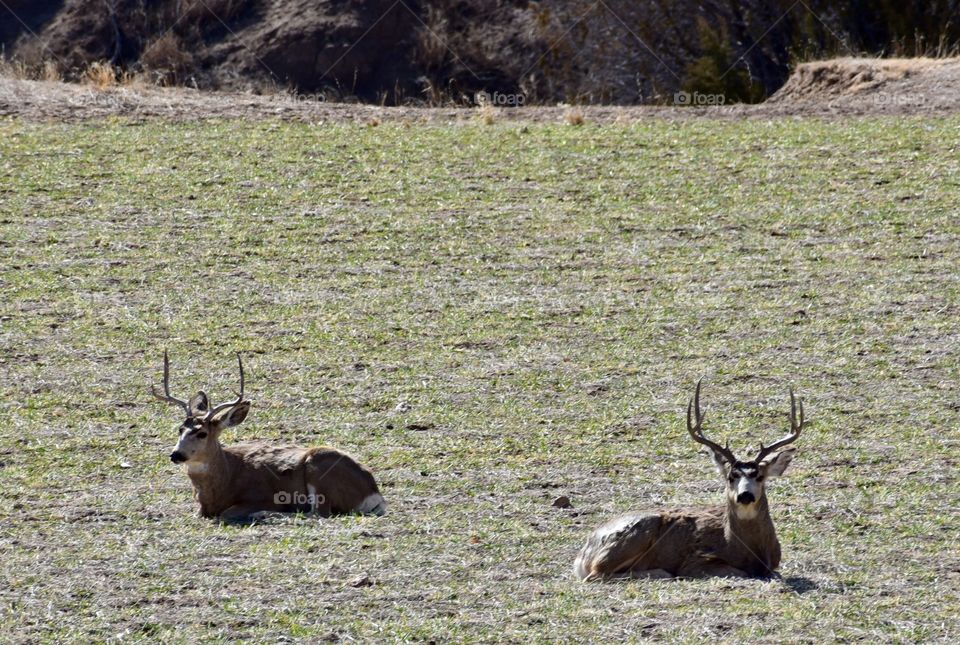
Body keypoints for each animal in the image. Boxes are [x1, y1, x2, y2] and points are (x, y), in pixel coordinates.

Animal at [151, 351, 387, 522]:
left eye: (202, 433)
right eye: (180, 429)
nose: (176, 455)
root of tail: (374, 492)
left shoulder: (260, 495)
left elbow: (226, 513)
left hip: (320, 470)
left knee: (318, 514)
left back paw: (265, 515)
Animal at [574, 380, 803, 581]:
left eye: (760, 476)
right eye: (731, 477)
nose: (745, 495)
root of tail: (583, 552)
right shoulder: (695, 560)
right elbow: (740, 572)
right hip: (636, 532)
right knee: (596, 575)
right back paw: (661, 573)